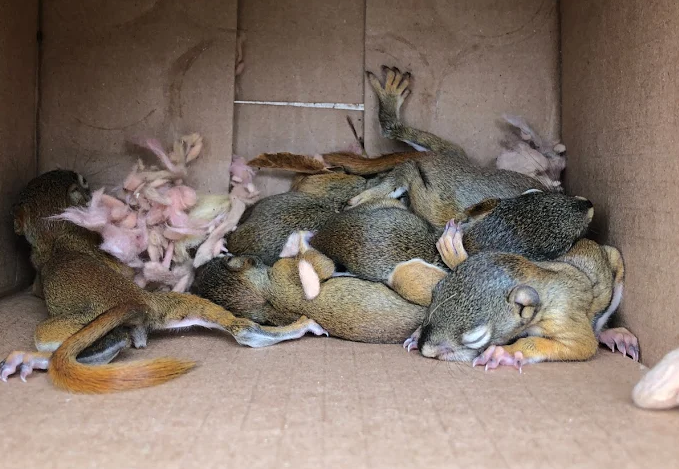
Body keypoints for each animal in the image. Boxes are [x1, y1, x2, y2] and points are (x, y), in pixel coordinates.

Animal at [0, 170, 326, 393]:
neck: (58, 232)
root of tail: (138, 301)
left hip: (75, 325)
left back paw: (30, 358)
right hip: (172, 306)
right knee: (241, 328)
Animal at [407, 222, 637, 369]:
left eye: (476, 338)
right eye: (436, 290)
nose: (425, 349)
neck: (539, 275)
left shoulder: (562, 317)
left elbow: (584, 345)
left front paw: (505, 353)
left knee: (599, 328)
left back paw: (614, 335)